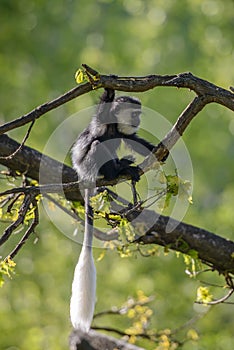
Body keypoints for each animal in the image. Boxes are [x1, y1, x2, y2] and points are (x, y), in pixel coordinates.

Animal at [70, 88, 155, 334]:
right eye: (134, 113)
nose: (138, 120)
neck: (115, 124)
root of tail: (84, 175)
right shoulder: (103, 119)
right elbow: (103, 106)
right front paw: (108, 89)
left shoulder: (124, 132)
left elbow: (134, 140)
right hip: (92, 164)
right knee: (98, 145)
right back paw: (117, 171)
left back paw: (124, 166)